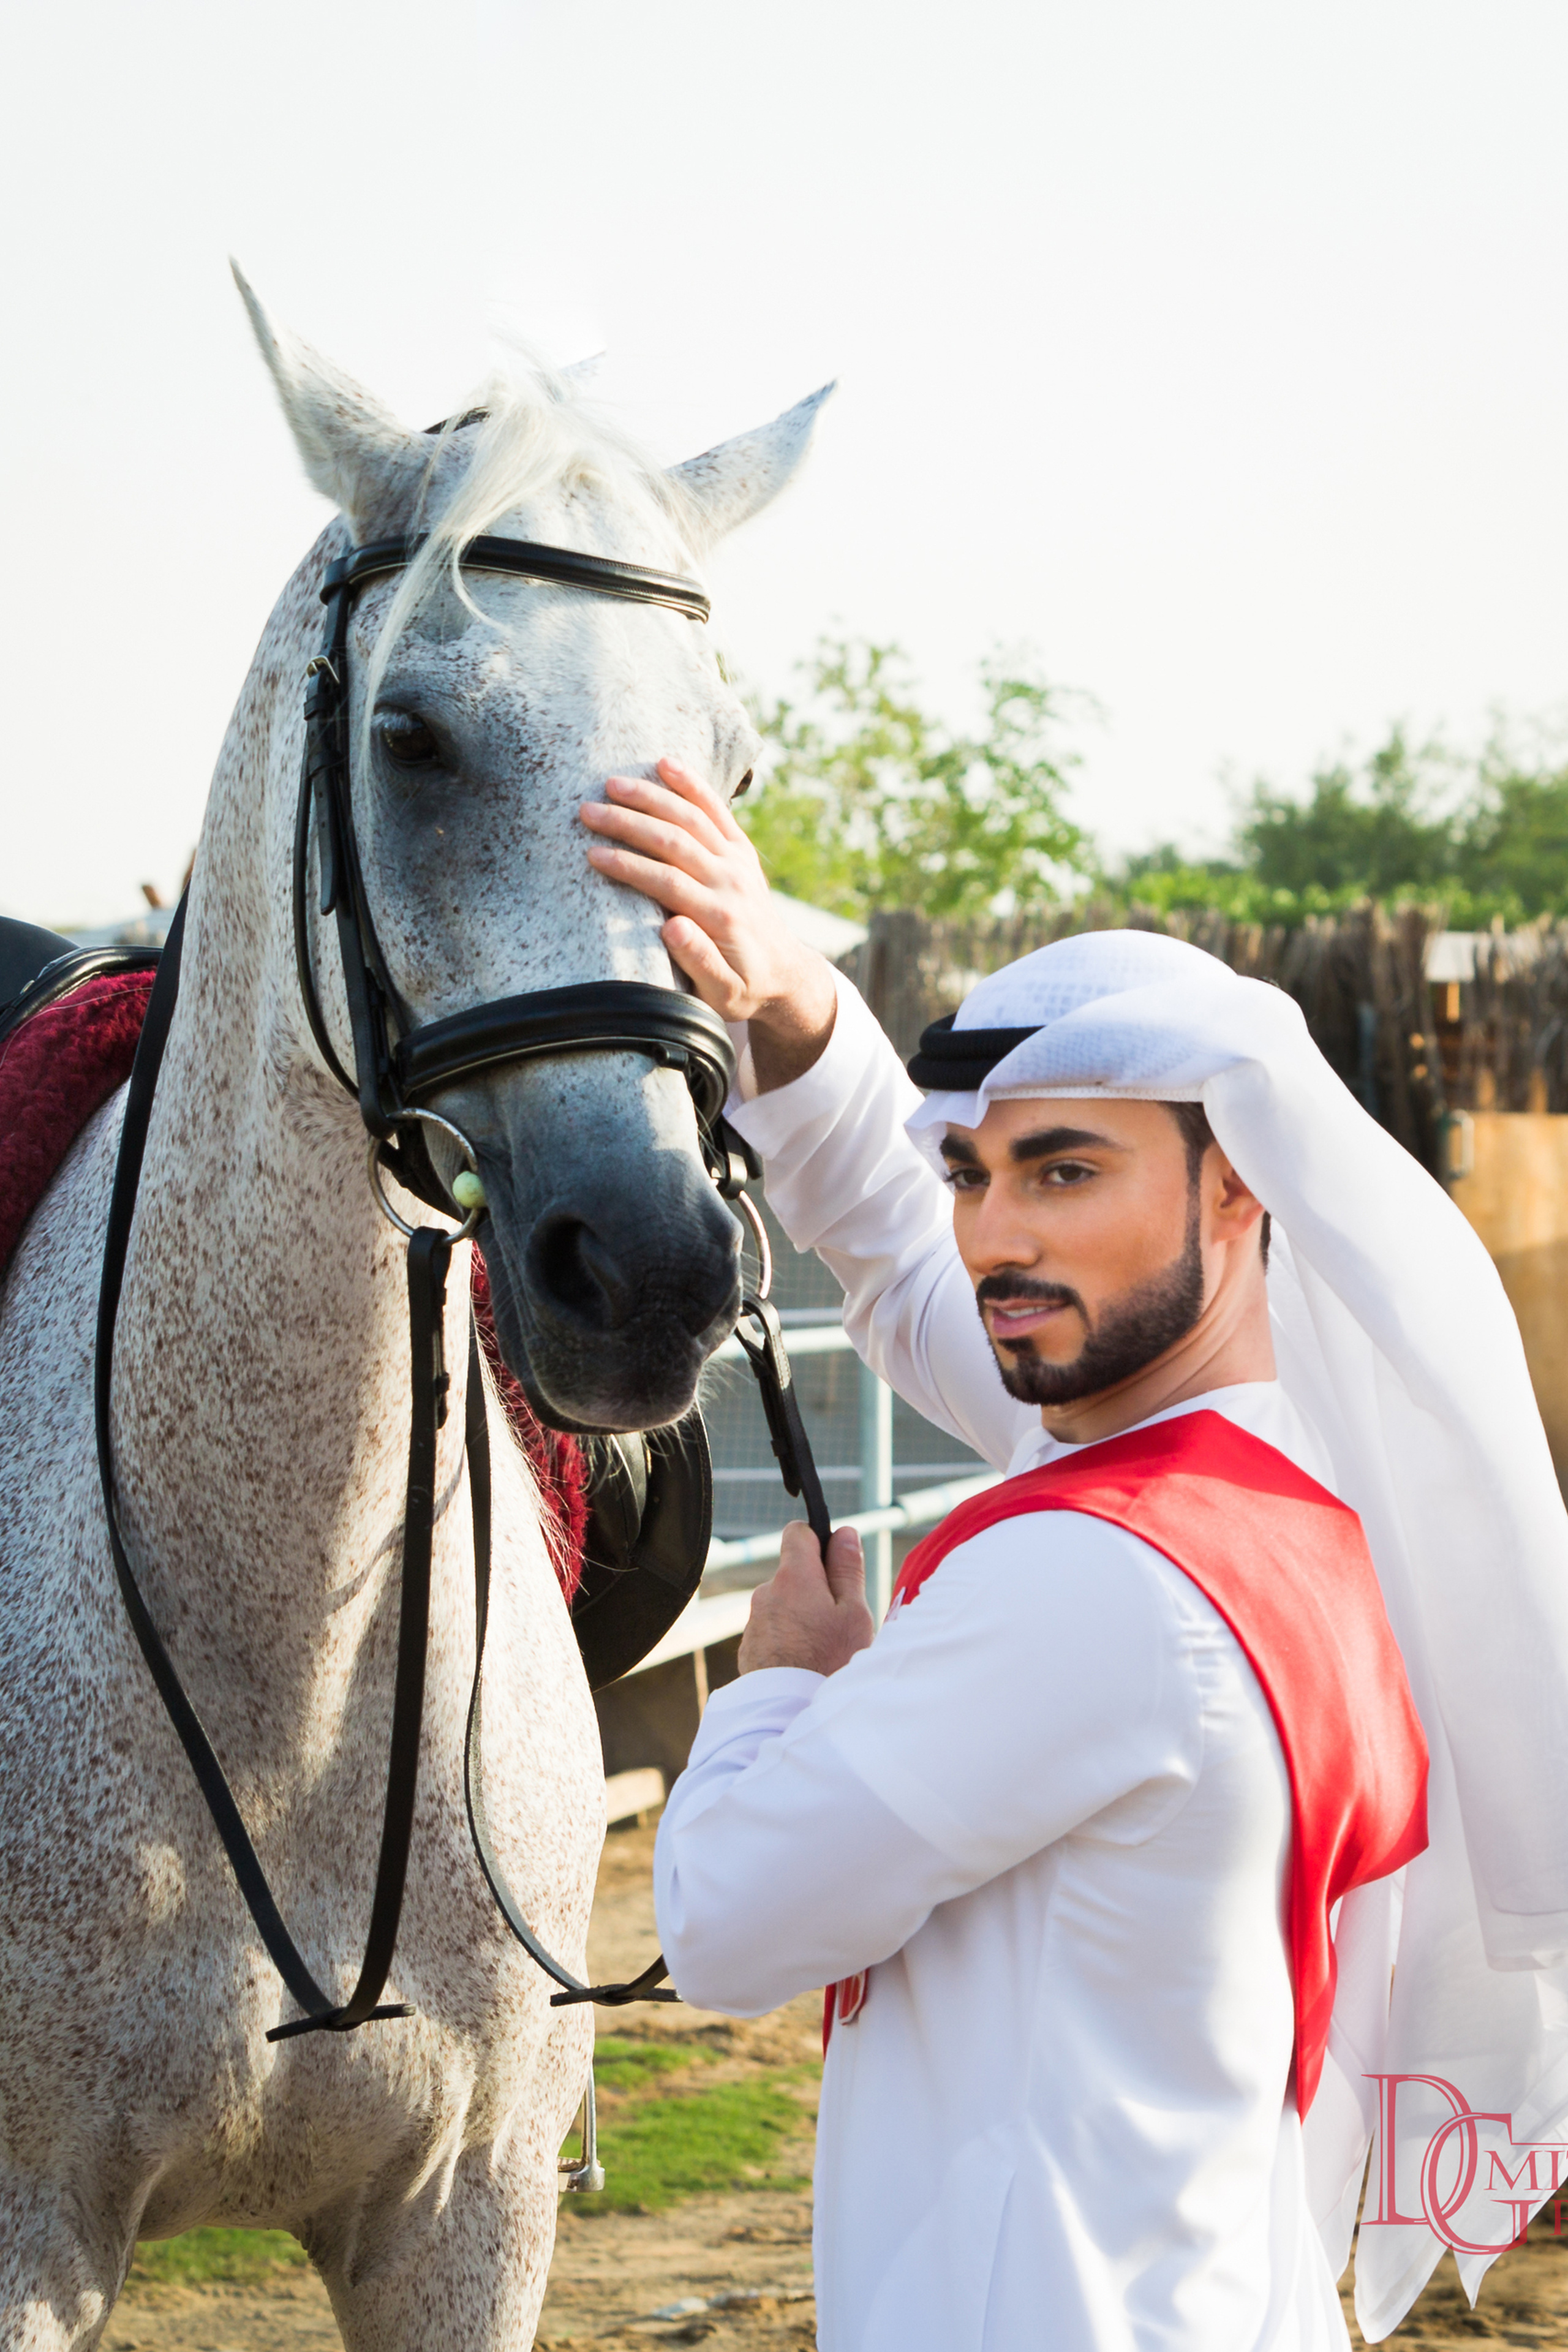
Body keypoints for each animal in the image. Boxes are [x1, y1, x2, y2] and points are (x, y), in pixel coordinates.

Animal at [0, 271, 829, 2350]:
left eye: (731, 768)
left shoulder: (469, 2222)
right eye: (411, 734)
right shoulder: (24, 2235)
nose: (650, 1264)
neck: (282, 1653)